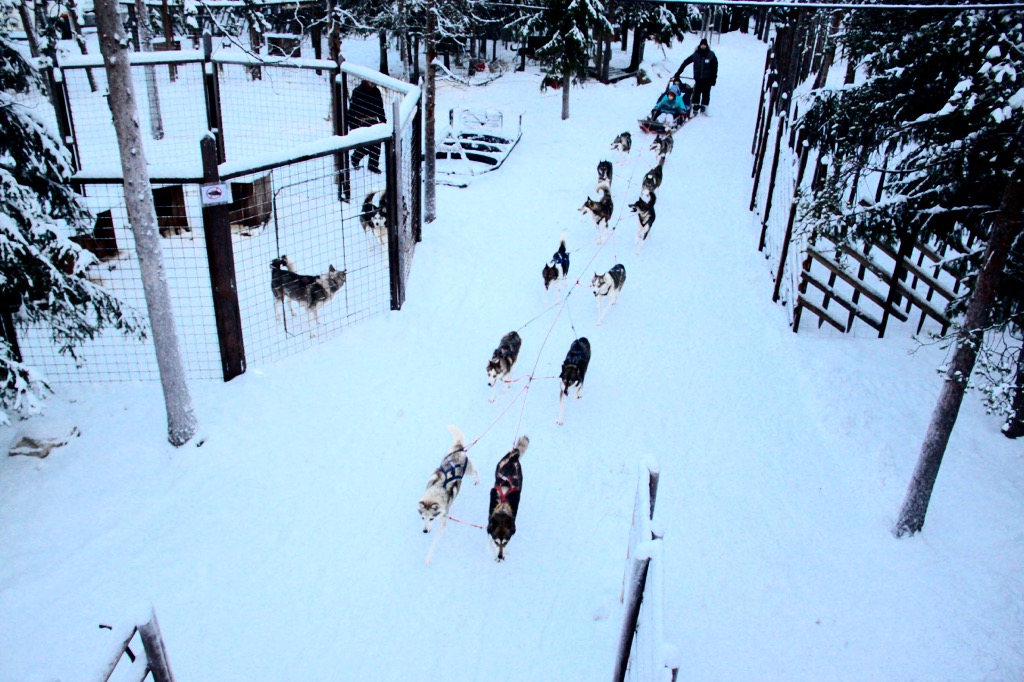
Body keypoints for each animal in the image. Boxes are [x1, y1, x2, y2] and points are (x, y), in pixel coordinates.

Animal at [417, 425, 477, 561]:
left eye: (432, 518)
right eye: (423, 518)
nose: (424, 531)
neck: (435, 494)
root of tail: (459, 448)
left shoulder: (443, 522)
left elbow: (434, 543)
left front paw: (428, 558)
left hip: (468, 471)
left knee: (476, 471)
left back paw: (477, 480)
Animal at [485, 432, 528, 561]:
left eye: (505, 542)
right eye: (496, 542)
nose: (500, 556)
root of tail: (513, 457)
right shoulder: (490, 527)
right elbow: (489, 540)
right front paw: (494, 554)